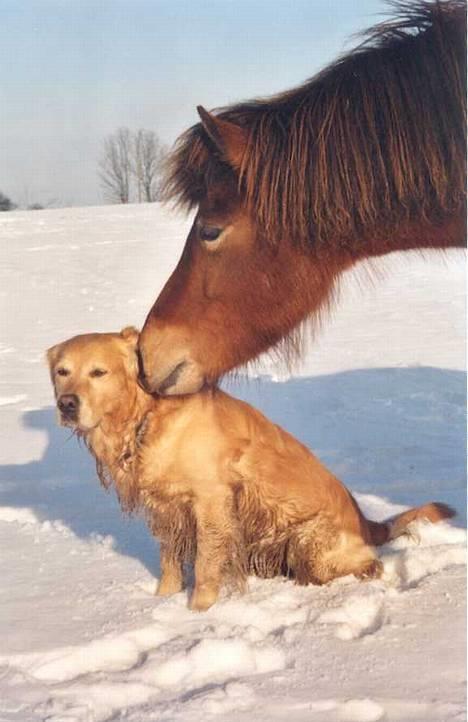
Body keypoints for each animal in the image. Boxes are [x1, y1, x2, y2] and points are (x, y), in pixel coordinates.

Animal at [47, 330, 454, 612]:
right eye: (62, 371)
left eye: (99, 372)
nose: (66, 404)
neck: (145, 417)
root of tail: (367, 523)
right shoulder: (165, 508)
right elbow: (169, 561)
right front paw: (161, 601)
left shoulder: (212, 502)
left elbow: (206, 564)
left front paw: (198, 613)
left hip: (309, 540)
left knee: (368, 563)